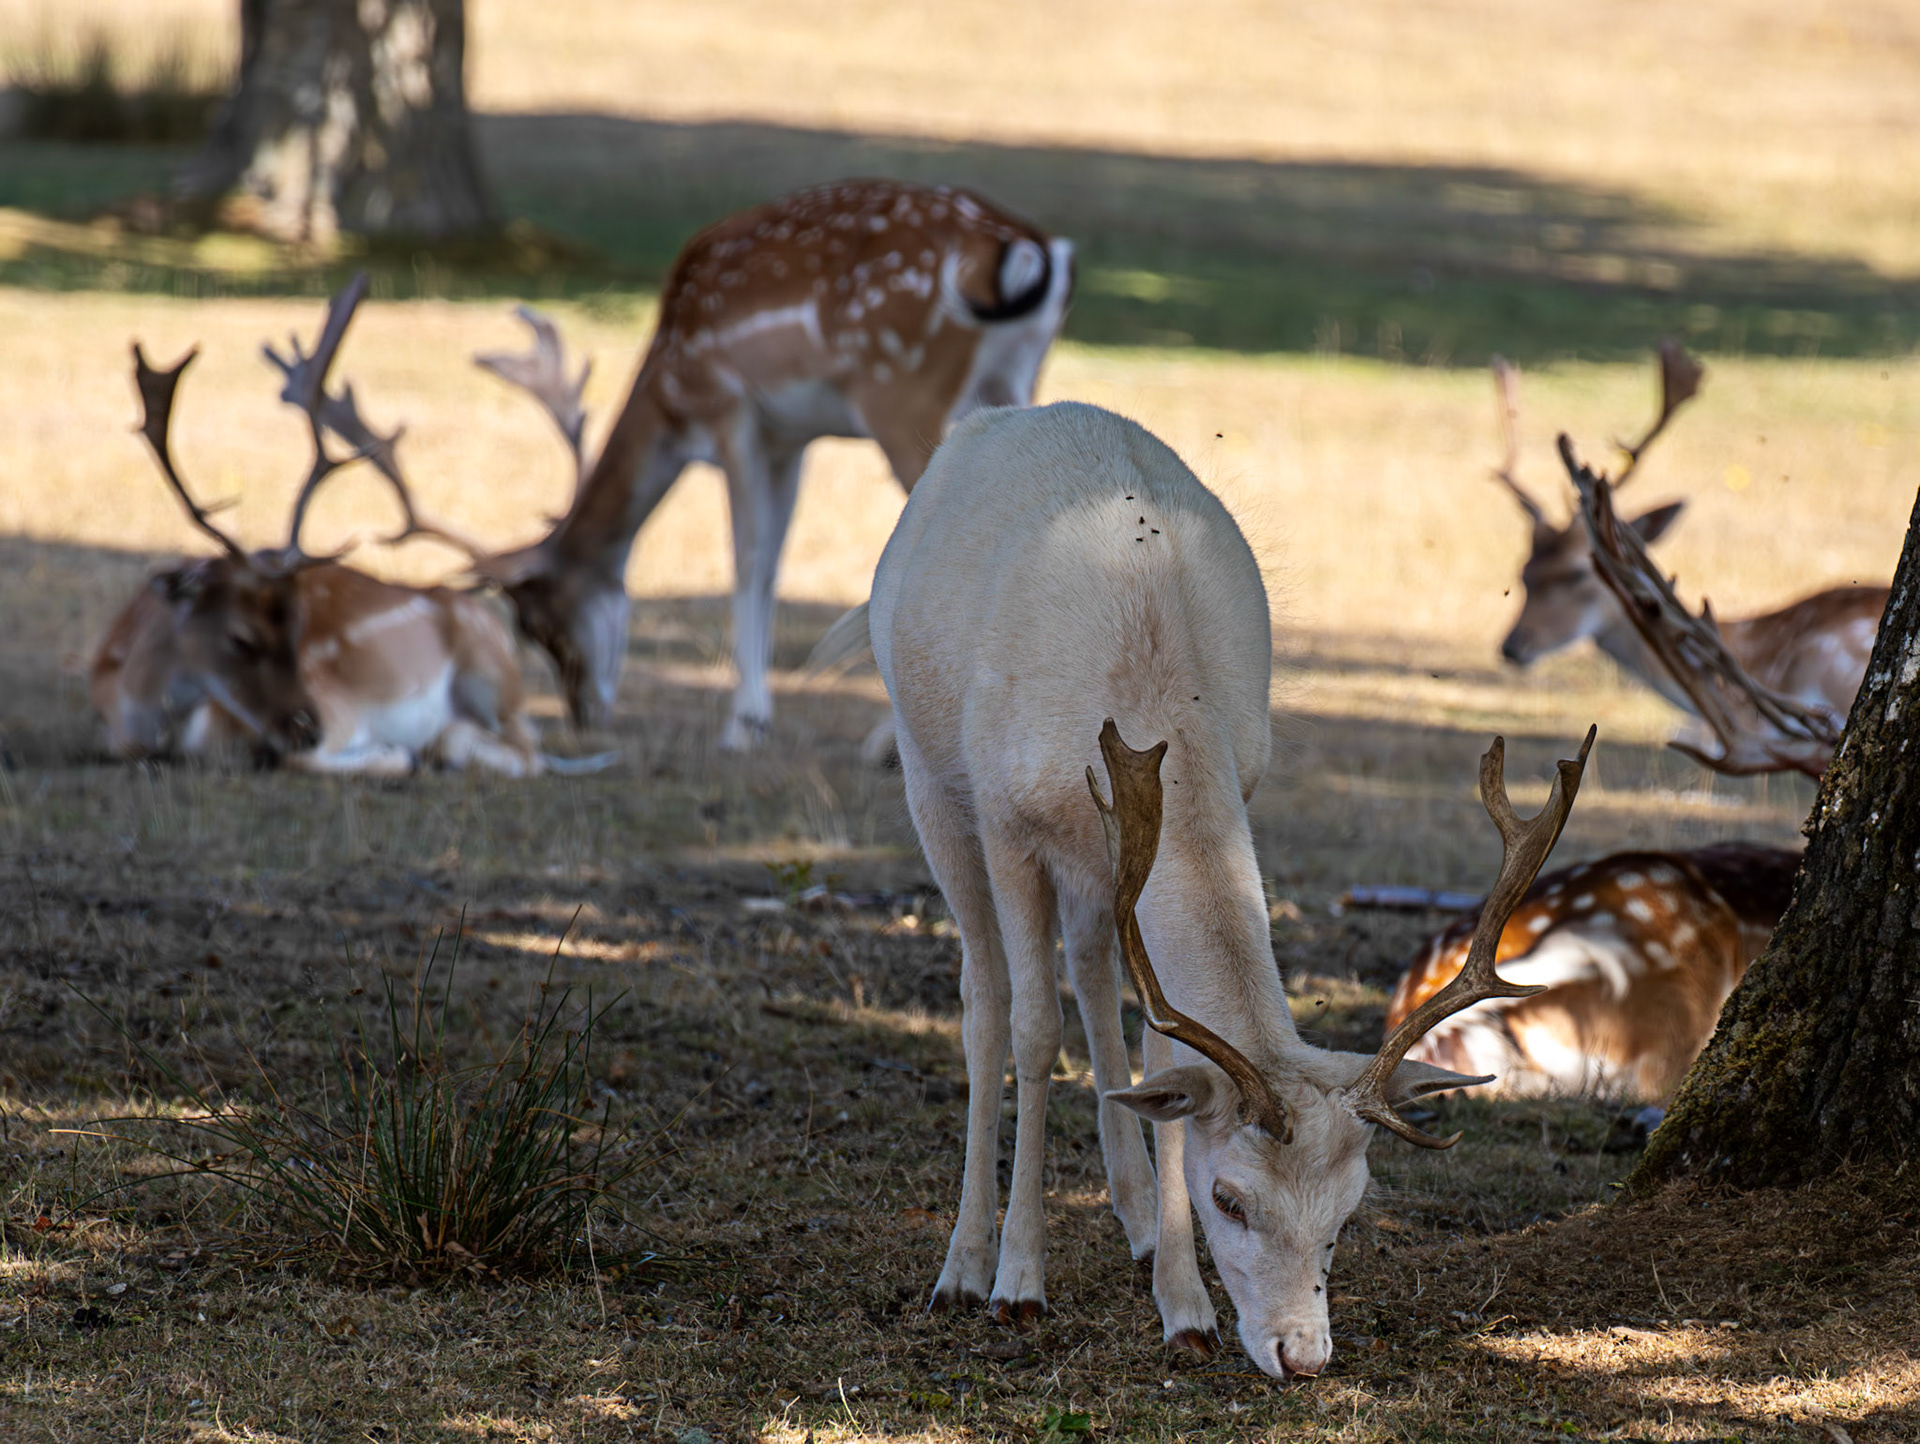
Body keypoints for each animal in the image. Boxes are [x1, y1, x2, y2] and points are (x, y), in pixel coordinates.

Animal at [91, 277, 609, 778]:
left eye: (298, 632)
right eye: (241, 638)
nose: (309, 726)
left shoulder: (339, 711)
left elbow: (311, 758)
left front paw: (395, 754)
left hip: (492, 676)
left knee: (527, 750)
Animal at [466, 179, 1075, 750]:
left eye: (538, 625)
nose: (582, 714)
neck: (669, 394)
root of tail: (1032, 247)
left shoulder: (730, 408)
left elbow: (747, 557)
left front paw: (744, 724)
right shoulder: (790, 439)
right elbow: (777, 558)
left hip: (902, 389)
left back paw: (888, 739)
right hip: (1016, 379)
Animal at [864, 399, 1594, 1380]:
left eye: (1348, 1213)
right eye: (1232, 1199)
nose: (1303, 1354)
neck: (1148, 688)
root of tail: (994, 416)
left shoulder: (1214, 790)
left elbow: (1163, 1057)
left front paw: (1184, 1310)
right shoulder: (1010, 820)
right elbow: (1031, 1029)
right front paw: (1020, 1284)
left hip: (1092, 863)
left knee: (1092, 970)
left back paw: (1136, 1219)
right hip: (929, 774)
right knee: (984, 995)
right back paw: (965, 1267)